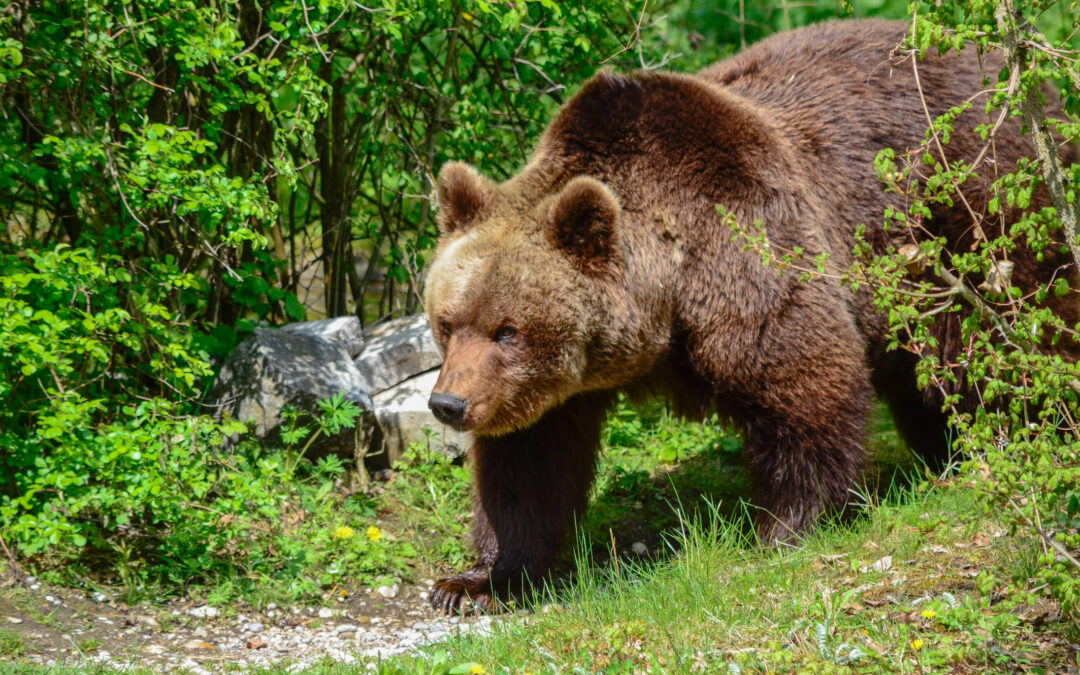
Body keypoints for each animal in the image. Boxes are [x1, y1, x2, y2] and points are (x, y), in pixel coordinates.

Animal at [422, 19, 1079, 613]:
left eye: (508, 331)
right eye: (448, 323)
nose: (448, 403)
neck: (667, 288)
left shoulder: (744, 242)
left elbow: (801, 383)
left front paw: (784, 527)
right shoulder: (555, 389)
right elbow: (527, 462)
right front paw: (477, 582)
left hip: (980, 210)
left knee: (1014, 333)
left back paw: (1033, 436)